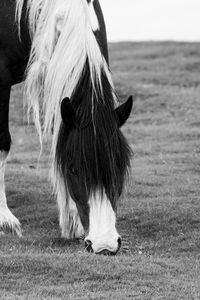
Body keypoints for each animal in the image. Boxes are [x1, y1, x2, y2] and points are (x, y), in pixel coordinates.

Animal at [0, 0, 133, 255]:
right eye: (73, 169)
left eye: (119, 166)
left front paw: (71, 220)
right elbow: (2, 144)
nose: (104, 245)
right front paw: (4, 219)